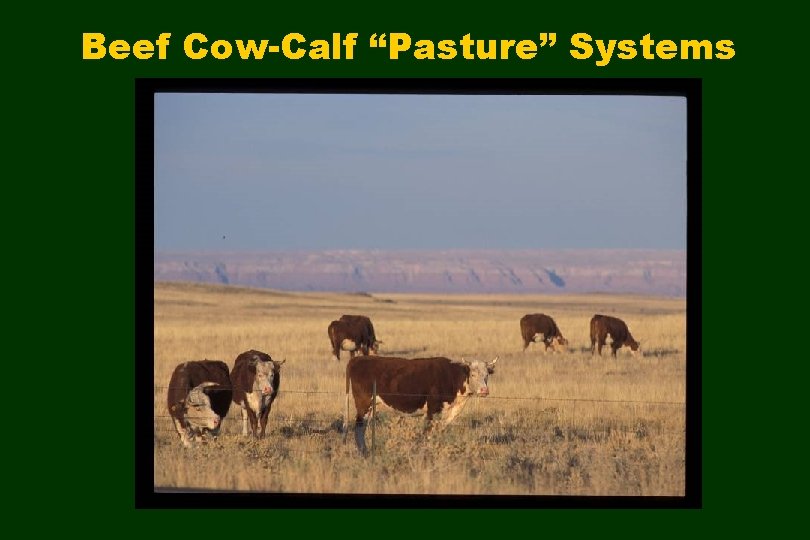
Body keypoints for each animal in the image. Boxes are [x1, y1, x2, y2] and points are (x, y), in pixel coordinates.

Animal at [343, 355, 498, 455]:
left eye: (486, 375)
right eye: (473, 374)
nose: (484, 390)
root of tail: (358, 359)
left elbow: (438, 430)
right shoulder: (432, 409)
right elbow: (427, 432)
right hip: (364, 404)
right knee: (358, 428)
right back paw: (364, 452)